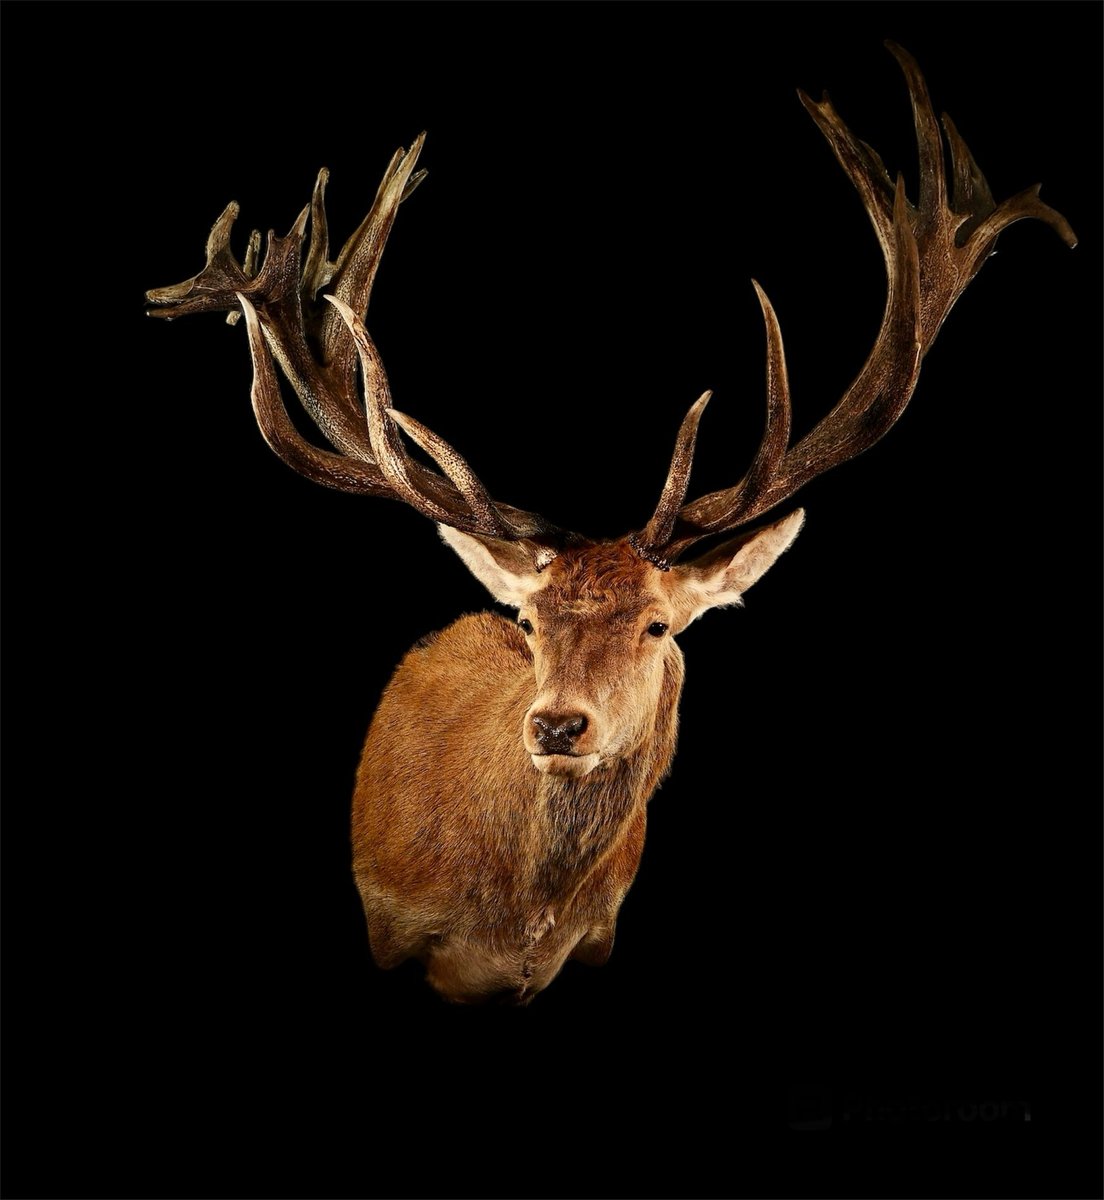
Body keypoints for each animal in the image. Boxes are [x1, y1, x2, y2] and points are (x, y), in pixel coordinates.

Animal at [146, 44, 1074, 1004]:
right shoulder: (390, 928)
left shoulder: (599, 940)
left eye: (659, 624)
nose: (558, 727)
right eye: (529, 620)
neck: (517, 924)